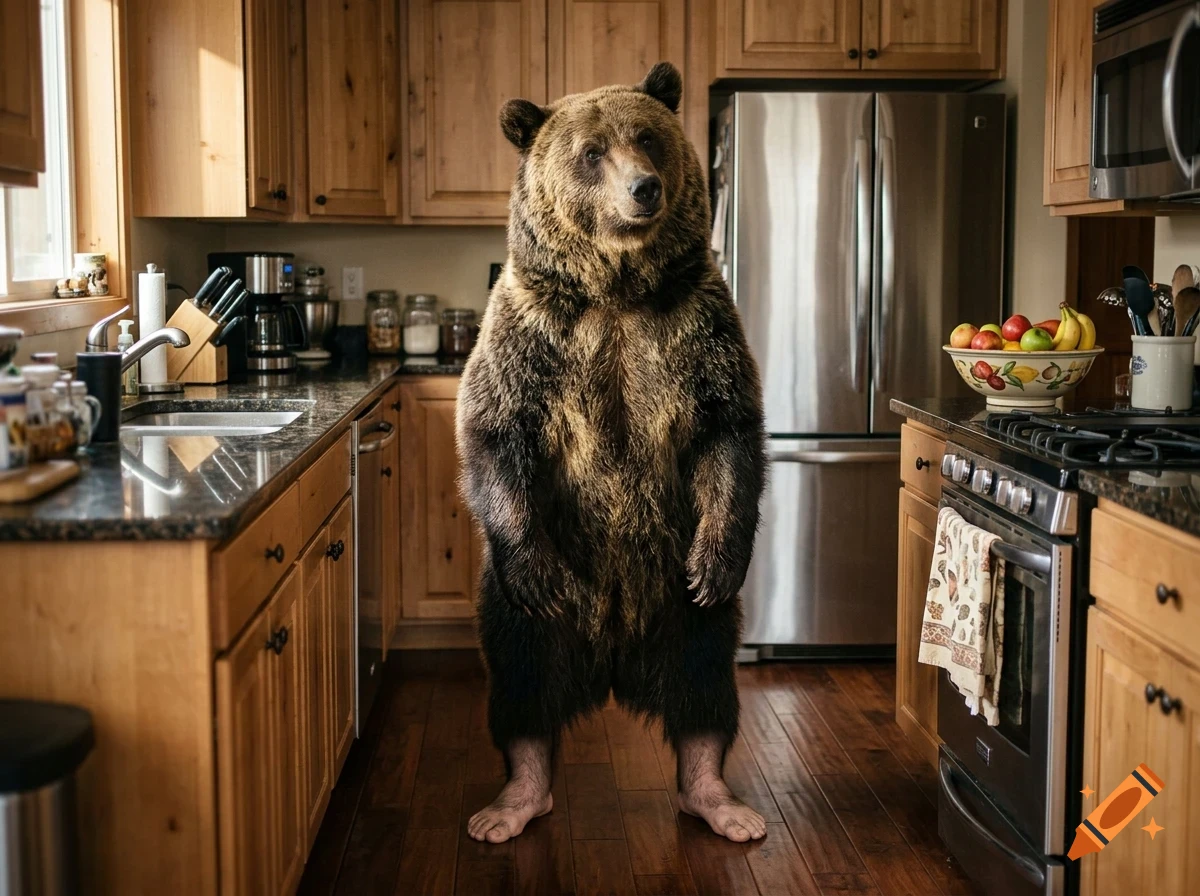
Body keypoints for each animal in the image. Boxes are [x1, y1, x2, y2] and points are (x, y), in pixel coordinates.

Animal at [456, 62, 767, 844]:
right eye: (591, 151)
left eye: (647, 137)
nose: (644, 188)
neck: (617, 291)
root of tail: (614, 665)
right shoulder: (533, 328)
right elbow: (495, 427)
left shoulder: (698, 326)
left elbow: (728, 429)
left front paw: (721, 557)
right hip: (536, 600)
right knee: (523, 677)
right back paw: (513, 800)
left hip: (676, 590)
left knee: (703, 680)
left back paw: (718, 797)